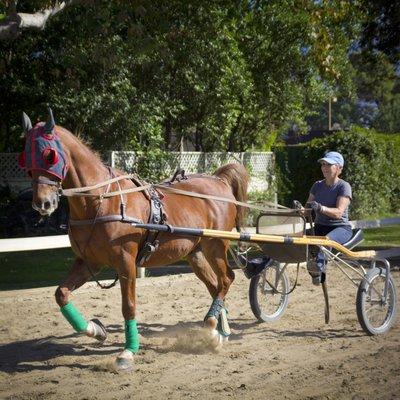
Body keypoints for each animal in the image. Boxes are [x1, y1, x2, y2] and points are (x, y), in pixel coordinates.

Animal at [21, 108, 250, 368]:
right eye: (25, 156)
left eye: (48, 155)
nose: (42, 203)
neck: (101, 200)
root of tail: (219, 180)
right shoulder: (90, 263)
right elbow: (61, 294)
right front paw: (96, 330)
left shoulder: (126, 262)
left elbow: (128, 306)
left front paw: (128, 351)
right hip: (196, 254)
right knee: (215, 286)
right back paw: (219, 332)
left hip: (216, 246)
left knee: (227, 279)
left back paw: (212, 324)